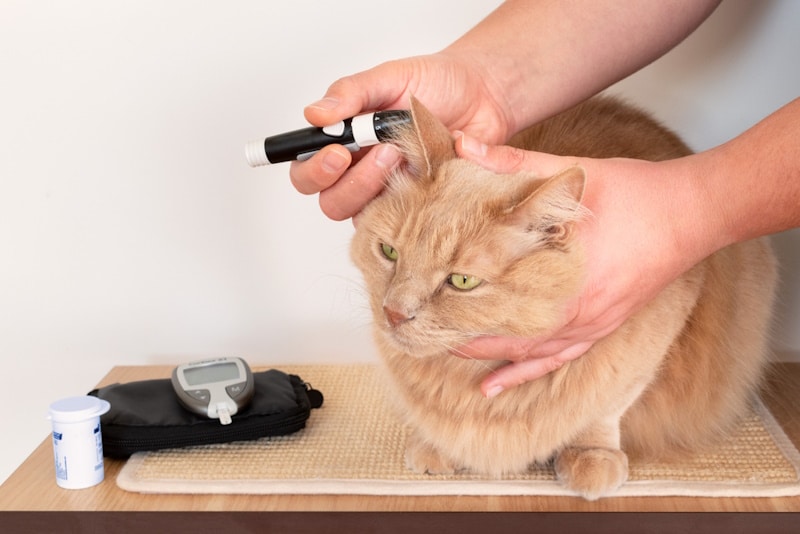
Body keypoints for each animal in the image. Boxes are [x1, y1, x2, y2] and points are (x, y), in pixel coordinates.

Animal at [350, 96, 776, 502]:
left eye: (462, 281)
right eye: (389, 253)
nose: (393, 313)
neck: (465, 379)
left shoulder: (650, 340)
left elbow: (605, 409)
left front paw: (592, 455)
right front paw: (436, 445)